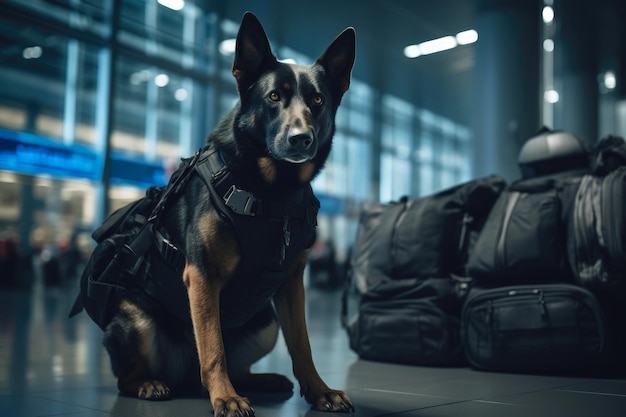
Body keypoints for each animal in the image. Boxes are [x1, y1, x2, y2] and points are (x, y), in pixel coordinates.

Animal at [103, 11, 356, 414]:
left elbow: (302, 345)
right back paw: (151, 384)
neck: (271, 192)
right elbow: (213, 347)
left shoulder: (291, 283)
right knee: (127, 377)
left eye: (317, 100)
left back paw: (262, 380)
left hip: (266, 323)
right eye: (274, 97)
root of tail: (185, 379)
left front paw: (319, 390)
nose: (302, 139)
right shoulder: (203, 277)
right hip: (135, 317)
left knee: (241, 366)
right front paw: (224, 397)